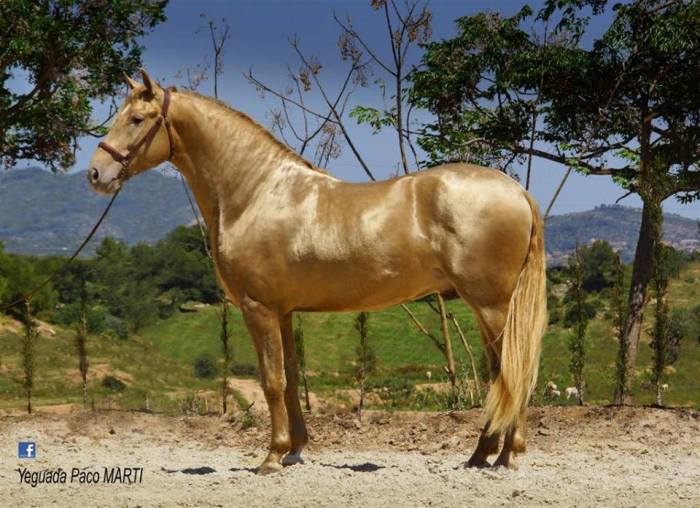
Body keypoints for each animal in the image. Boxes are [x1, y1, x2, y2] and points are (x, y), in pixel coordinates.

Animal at [89, 69, 548, 474]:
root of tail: (516, 191)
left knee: (510, 372)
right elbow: (291, 379)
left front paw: (272, 457)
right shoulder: (283, 312)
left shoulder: (258, 309)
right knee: (504, 374)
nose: (96, 174)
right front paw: (294, 450)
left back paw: (500, 456)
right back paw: (485, 455)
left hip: (491, 306)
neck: (256, 192)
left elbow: (271, 381)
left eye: (137, 119)